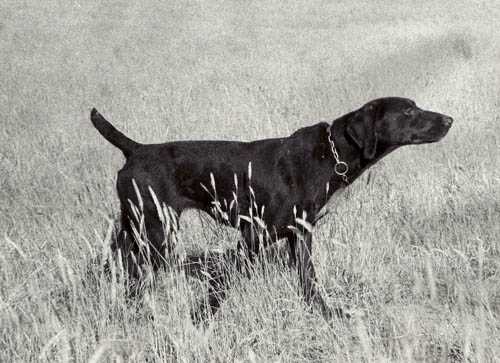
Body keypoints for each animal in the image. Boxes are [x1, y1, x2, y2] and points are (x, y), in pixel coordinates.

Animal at [90, 96, 454, 318]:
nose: (449, 119)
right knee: (136, 277)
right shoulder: (252, 235)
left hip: (136, 229)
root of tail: (136, 150)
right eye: (408, 111)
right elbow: (223, 286)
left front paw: (327, 314)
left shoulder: (300, 235)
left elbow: (310, 282)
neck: (329, 154)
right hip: (155, 233)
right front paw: (202, 319)